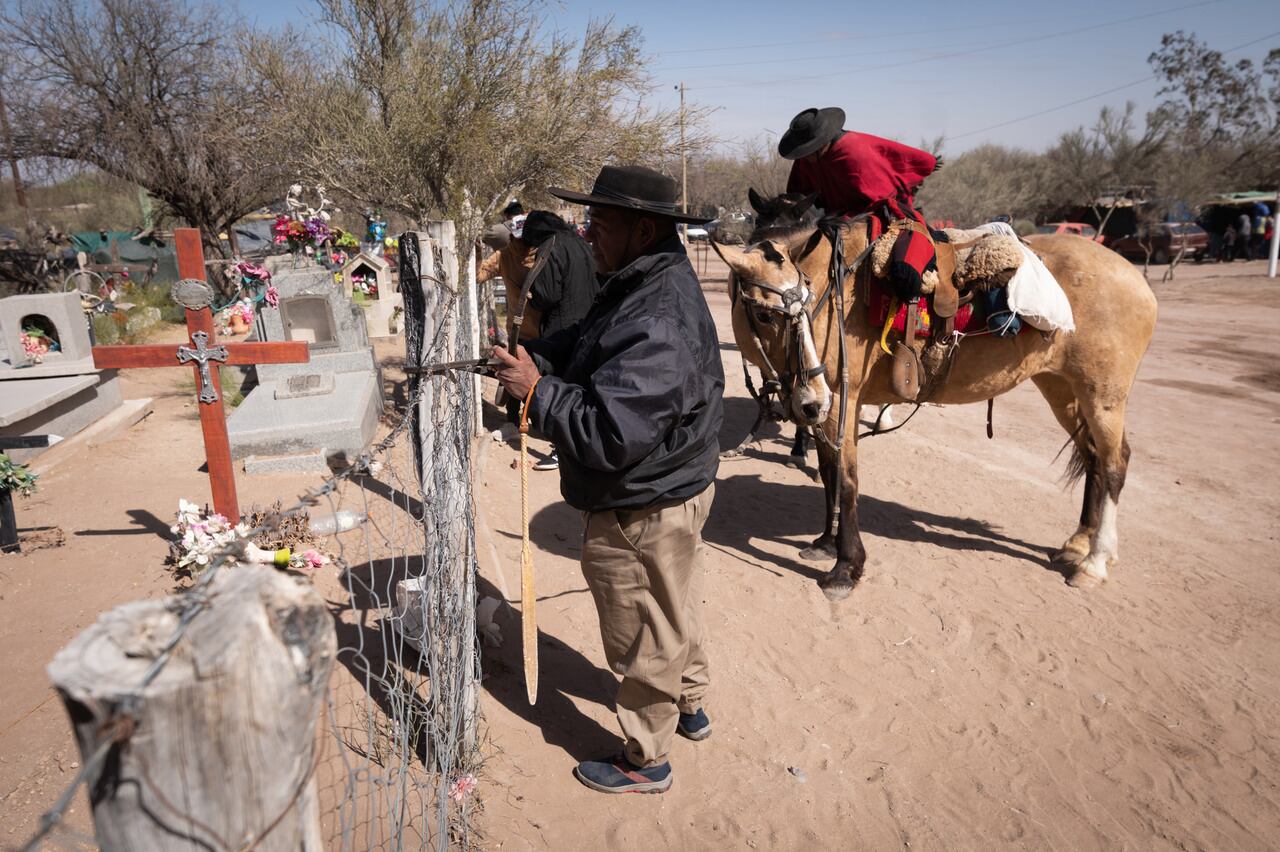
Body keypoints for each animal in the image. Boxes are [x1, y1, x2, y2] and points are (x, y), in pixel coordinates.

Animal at [711, 207, 1162, 596]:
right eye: (766, 315)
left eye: (800, 305)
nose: (811, 395)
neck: (835, 291)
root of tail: (1136, 280)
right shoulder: (827, 409)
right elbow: (828, 473)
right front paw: (824, 543)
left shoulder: (841, 401)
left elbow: (847, 479)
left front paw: (846, 567)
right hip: (1061, 388)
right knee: (1093, 459)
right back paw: (1078, 543)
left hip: (1102, 396)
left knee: (1114, 464)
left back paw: (1096, 562)